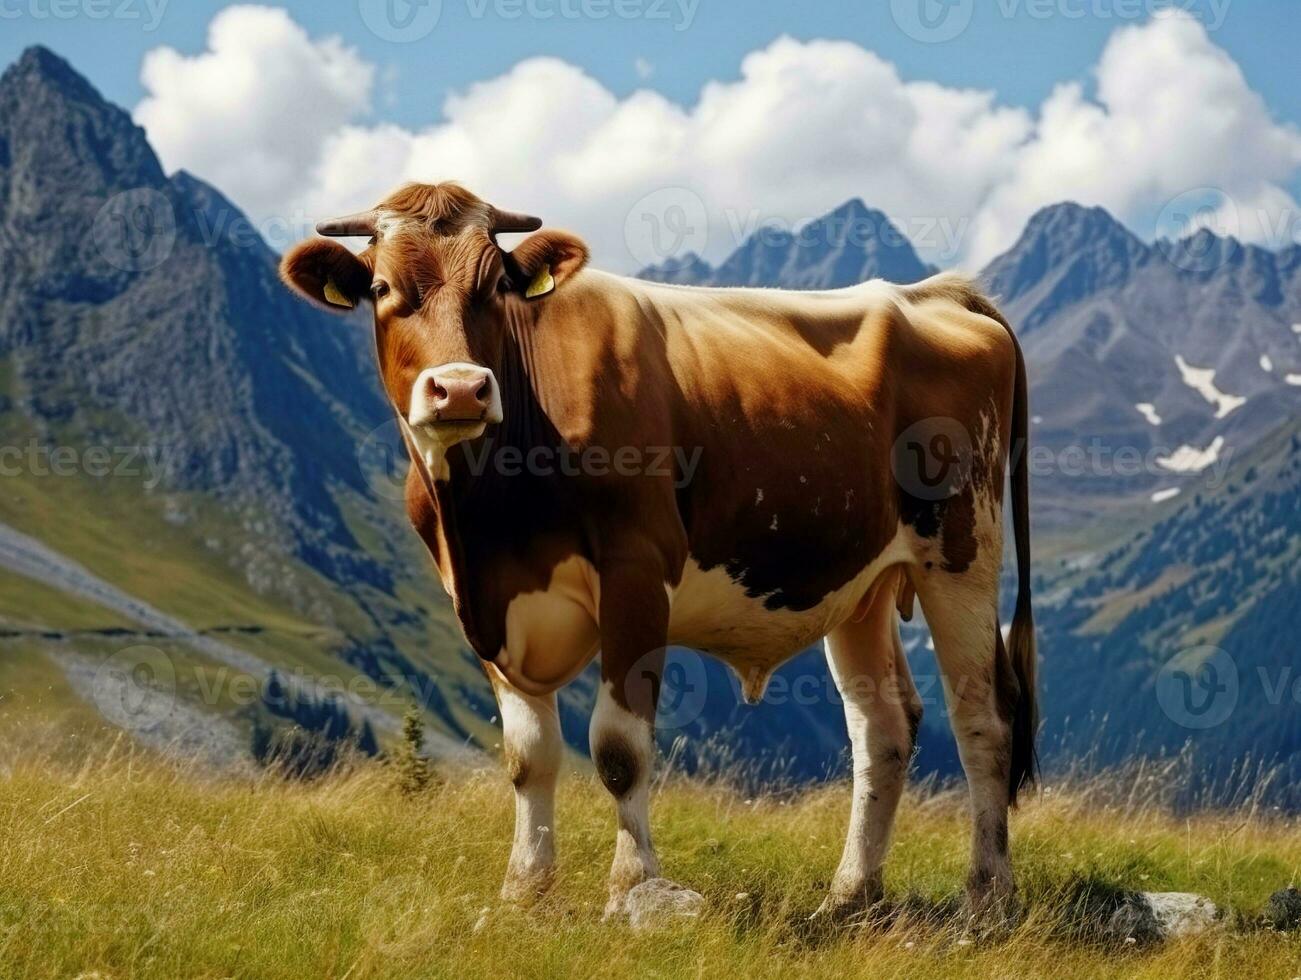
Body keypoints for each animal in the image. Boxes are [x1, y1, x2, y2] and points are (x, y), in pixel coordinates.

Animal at [282, 183, 1035, 926]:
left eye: (494, 285)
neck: (491, 514)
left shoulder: (636, 571)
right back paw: (849, 896)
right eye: (383, 288)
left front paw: (631, 886)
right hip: (861, 581)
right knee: (884, 728)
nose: (462, 388)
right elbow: (529, 757)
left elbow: (618, 748)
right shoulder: (485, 604)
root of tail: (933, 294)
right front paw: (525, 892)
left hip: (962, 550)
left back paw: (987, 899)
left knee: (984, 715)